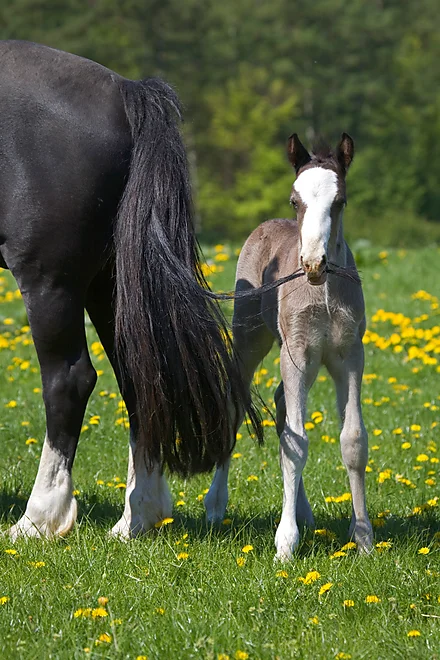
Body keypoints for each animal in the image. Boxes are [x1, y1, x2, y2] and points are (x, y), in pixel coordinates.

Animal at [0, 40, 260, 540]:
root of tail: (125, 92)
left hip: (51, 283)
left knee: (69, 381)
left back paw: (39, 519)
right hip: (111, 285)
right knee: (140, 378)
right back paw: (138, 516)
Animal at [204, 132, 374, 561]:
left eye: (340, 201)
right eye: (295, 201)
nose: (313, 261)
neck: (324, 293)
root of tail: (265, 226)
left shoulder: (350, 356)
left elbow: (353, 440)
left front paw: (364, 536)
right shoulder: (296, 354)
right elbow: (295, 444)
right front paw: (285, 542)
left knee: (283, 407)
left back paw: (305, 513)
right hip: (252, 340)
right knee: (237, 403)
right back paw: (215, 505)